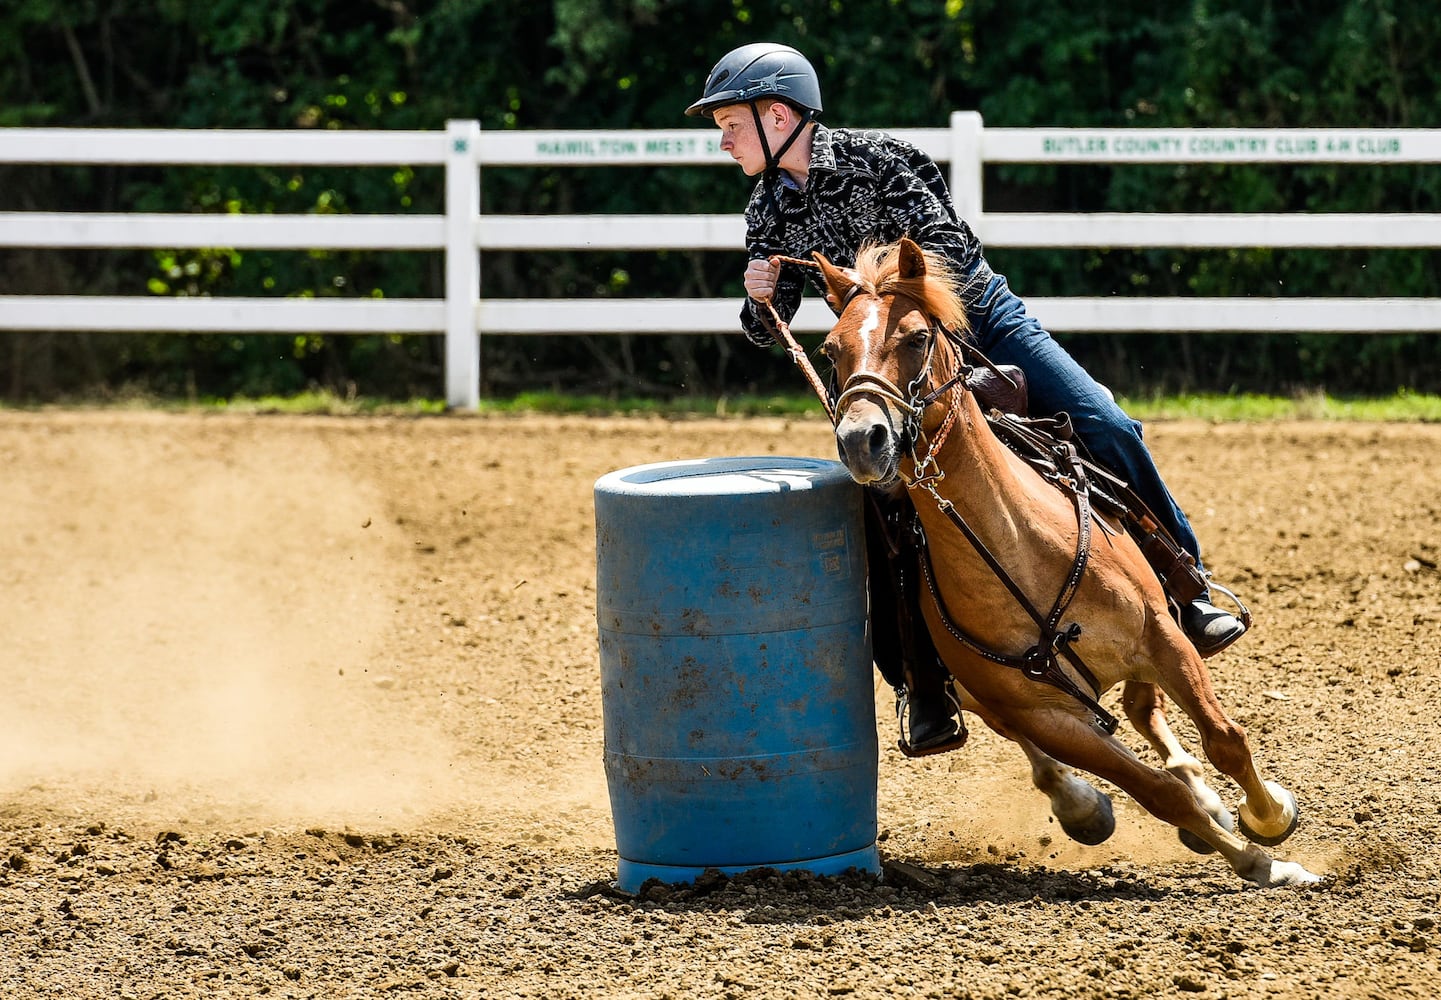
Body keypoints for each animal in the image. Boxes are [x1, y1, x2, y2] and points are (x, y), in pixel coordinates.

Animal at [812, 239, 1319, 887]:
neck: (1017, 548)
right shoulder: (1042, 714)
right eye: (830, 351)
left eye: (916, 338)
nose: (862, 440)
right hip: (992, 701)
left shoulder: (1162, 638)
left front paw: (1269, 818)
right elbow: (1155, 793)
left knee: (1144, 709)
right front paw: (1261, 863)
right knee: (1063, 750)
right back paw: (1089, 807)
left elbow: (1224, 738)